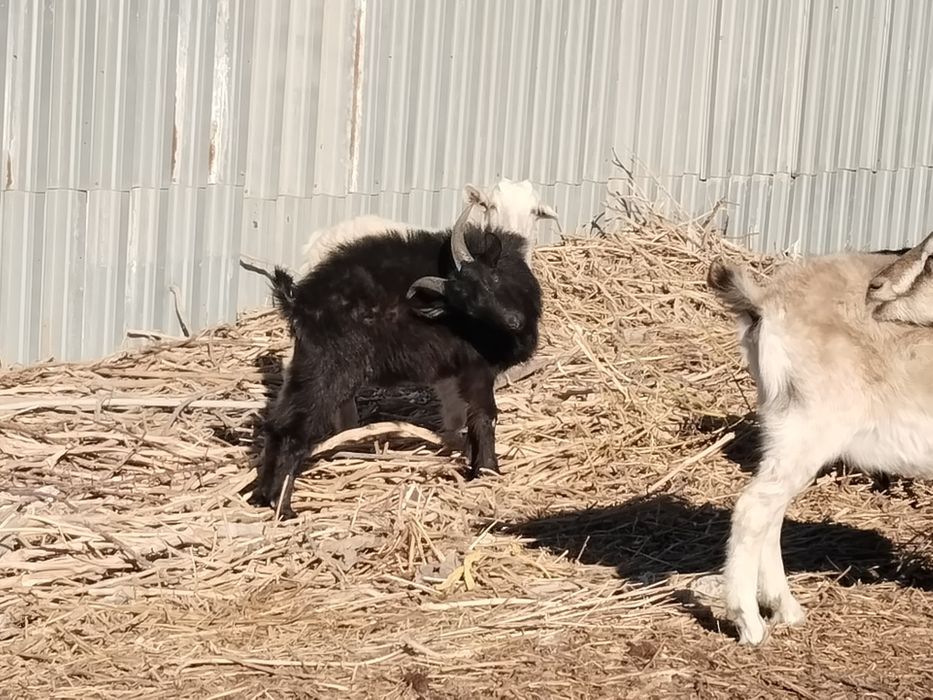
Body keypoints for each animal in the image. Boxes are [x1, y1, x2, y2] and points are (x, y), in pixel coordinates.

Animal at [250, 203, 543, 520]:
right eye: (466, 303)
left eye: (494, 278)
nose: (513, 321)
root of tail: (297, 302)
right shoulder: (476, 369)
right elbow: (483, 416)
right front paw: (488, 470)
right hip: (330, 371)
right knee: (295, 430)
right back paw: (284, 507)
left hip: (306, 366)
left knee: (277, 424)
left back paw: (261, 496)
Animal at [707, 251, 933, 645]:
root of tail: (767, 301)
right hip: (811, 425)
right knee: (754, 509)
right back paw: (750, 625)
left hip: (783, 424)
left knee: (771, 511)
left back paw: (785, 609)